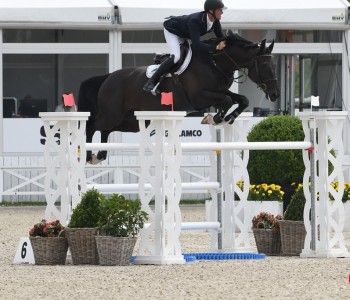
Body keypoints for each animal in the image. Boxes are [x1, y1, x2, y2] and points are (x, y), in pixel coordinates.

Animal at [78, 29, 278, 163]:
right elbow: (227, 101)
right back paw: (88, 155)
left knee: (106, 130)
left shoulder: (219, 91)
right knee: (92, 125)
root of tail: (108, 77)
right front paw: (215, 118)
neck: (215, 63)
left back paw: (100, 154)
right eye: (265, 65)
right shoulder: (200, 97)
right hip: (112, 114)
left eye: (273, 65)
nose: (275, 94)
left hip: (130, 121)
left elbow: (242, 100)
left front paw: (227, 117)